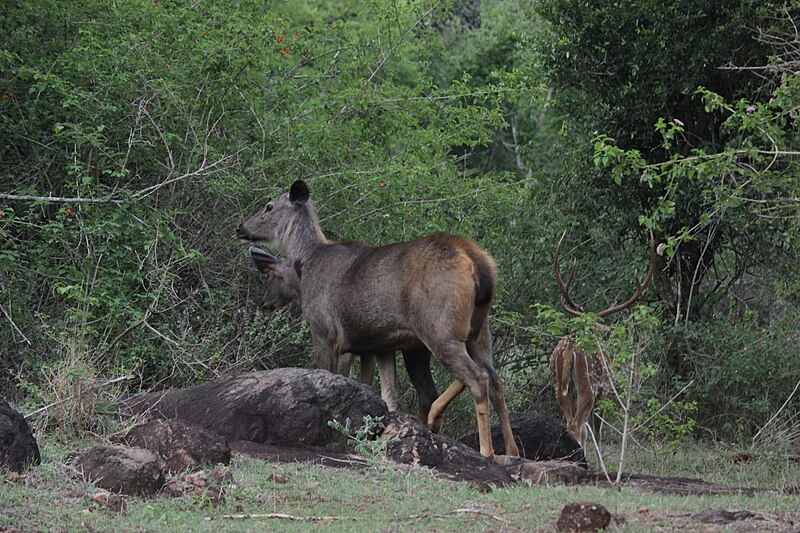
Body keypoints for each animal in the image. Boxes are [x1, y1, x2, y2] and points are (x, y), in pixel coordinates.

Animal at [248, 246, 440, 424]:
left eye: (272, 276)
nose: (264, 303)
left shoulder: (335, 343)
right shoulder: (369, 349)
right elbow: (371, 385)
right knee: (428, 394)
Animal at [552, 232, 656, 444]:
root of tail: (568, 350)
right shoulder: (604, 390)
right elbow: (597, 431)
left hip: (559, 386)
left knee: (570, 423)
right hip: (588, 386)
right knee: (577, 425)